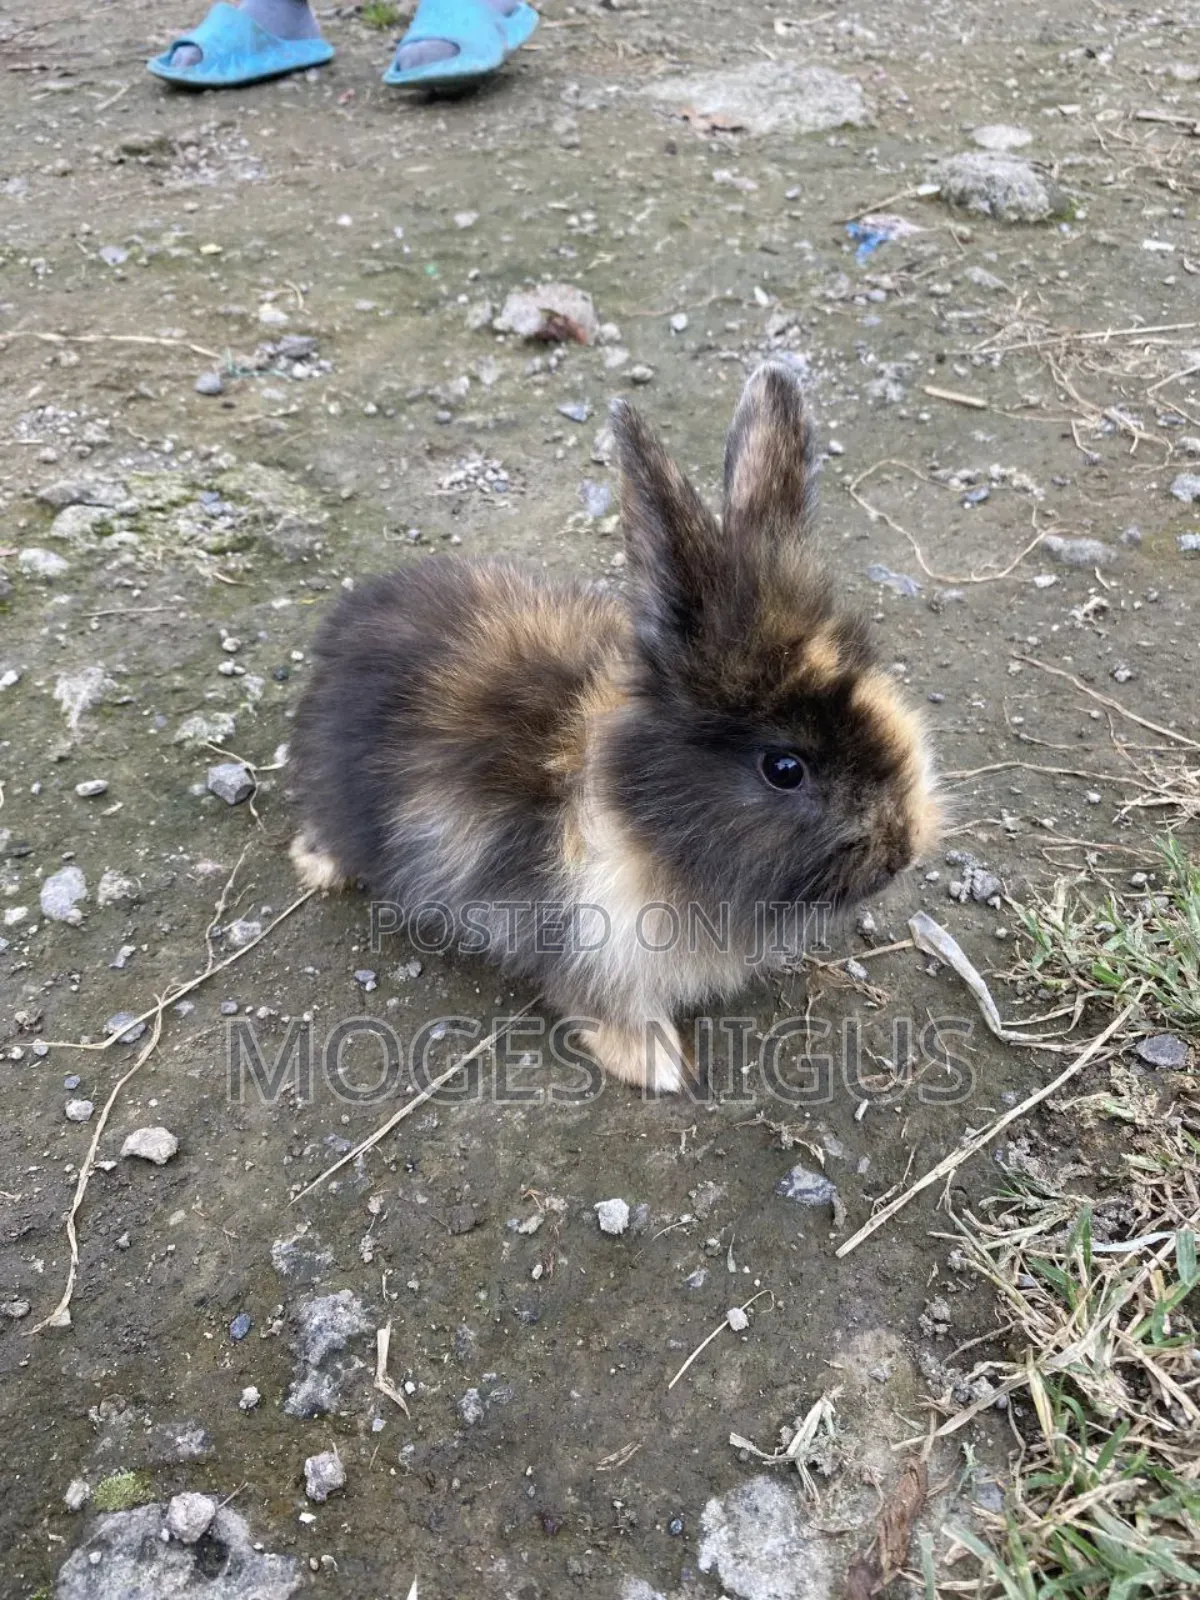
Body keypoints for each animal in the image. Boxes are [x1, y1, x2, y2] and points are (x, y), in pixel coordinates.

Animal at [287, 362, 940, 1093]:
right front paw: (660, 1067)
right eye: (785, 768)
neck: (637, 811)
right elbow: (608, 1008)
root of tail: (346, 622)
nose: (902, 849)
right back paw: (319, 868)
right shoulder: (593, 944)